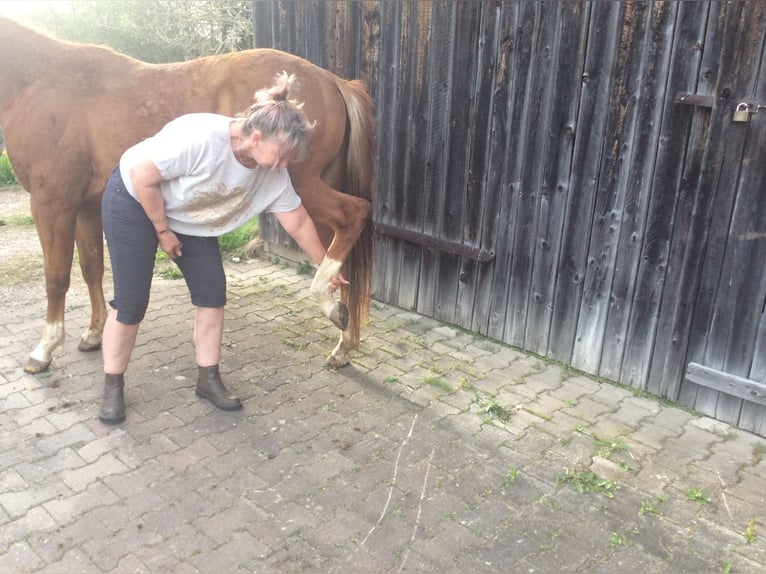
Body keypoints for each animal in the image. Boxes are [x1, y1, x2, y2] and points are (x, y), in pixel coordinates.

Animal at [0, 16, 376, 374]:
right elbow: (91, 267)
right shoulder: (85, 207)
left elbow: (56, 276)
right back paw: (343, 342)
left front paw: (44, 349)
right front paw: (93, 333)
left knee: (354, 214)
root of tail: (332, 80)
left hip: (301, 186)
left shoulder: (51, 203)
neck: (39, 78)